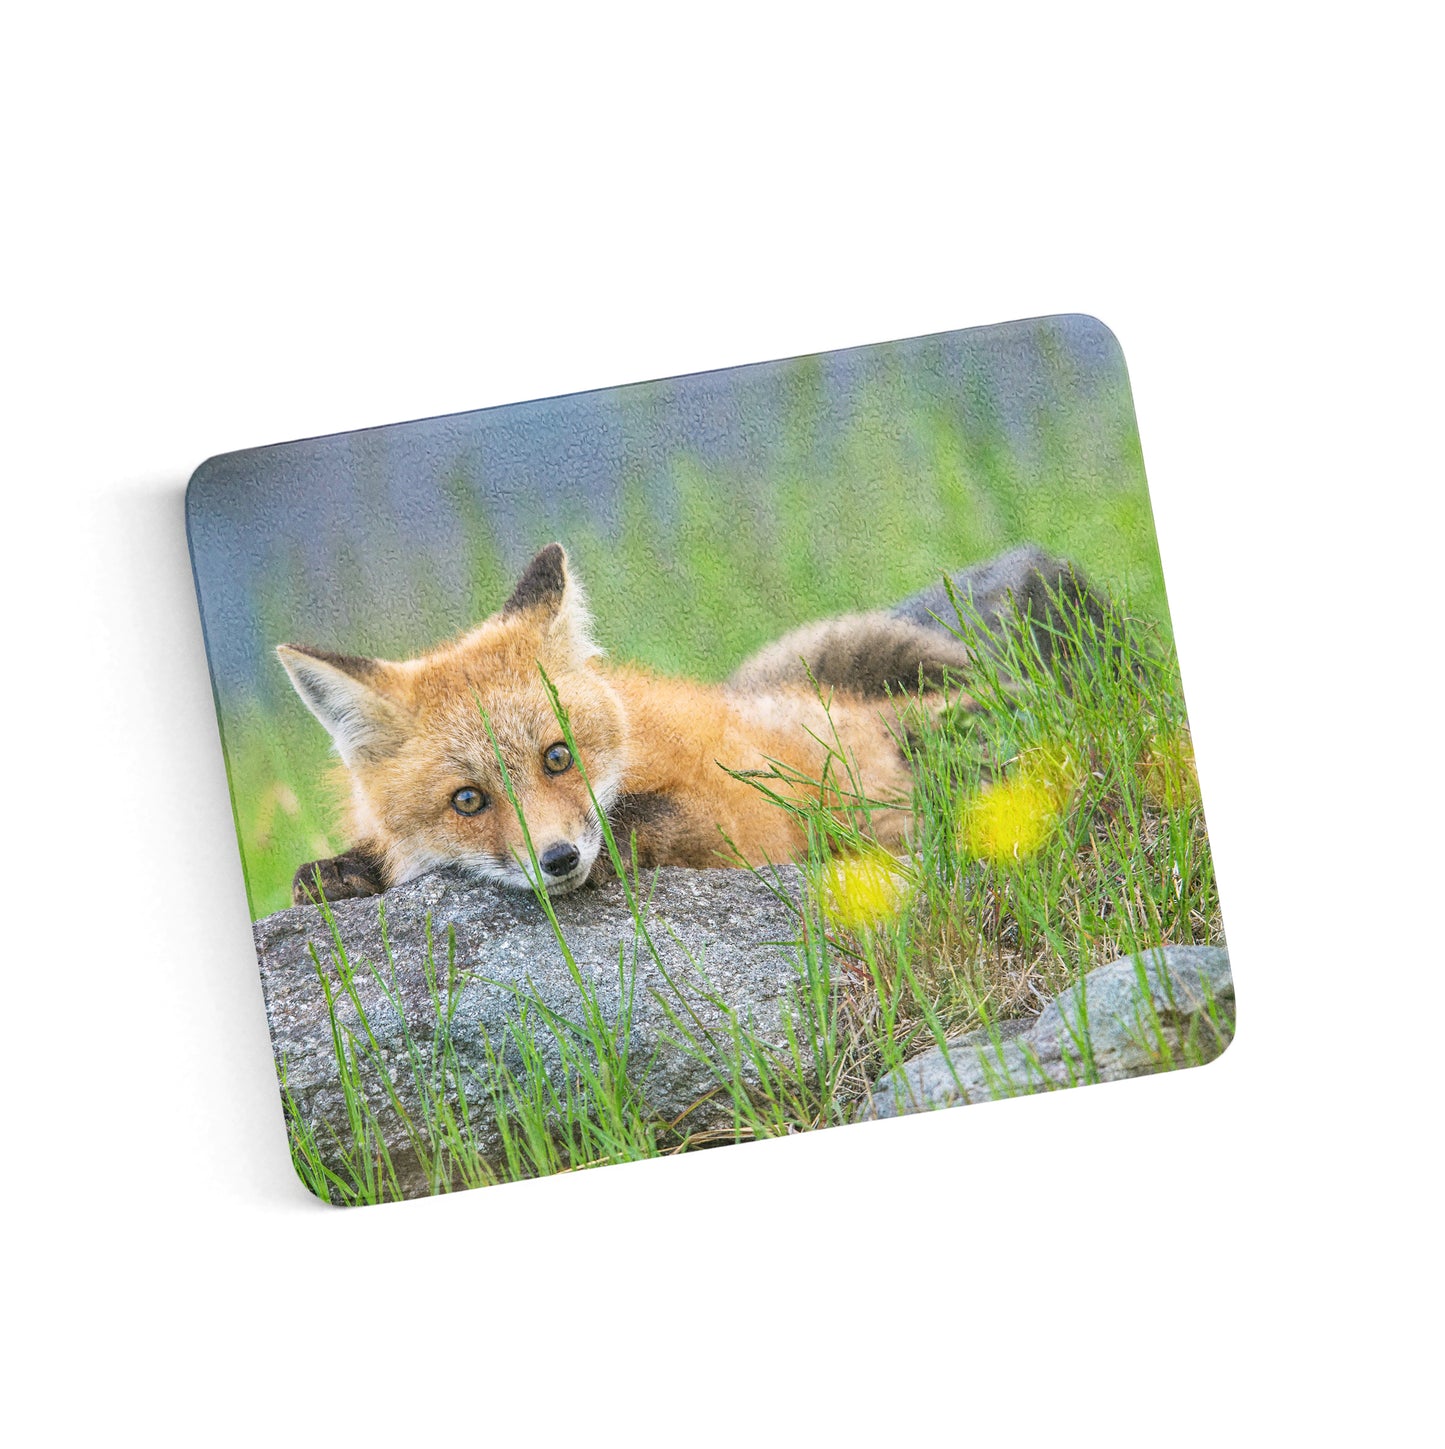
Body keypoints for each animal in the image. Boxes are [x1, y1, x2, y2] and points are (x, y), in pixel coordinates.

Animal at [279, 542, 1091, 905]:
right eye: (467, 800)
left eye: (557, 757)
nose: (559, 860)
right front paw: (347, 869)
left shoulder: (731, 822)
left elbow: (645, 822)